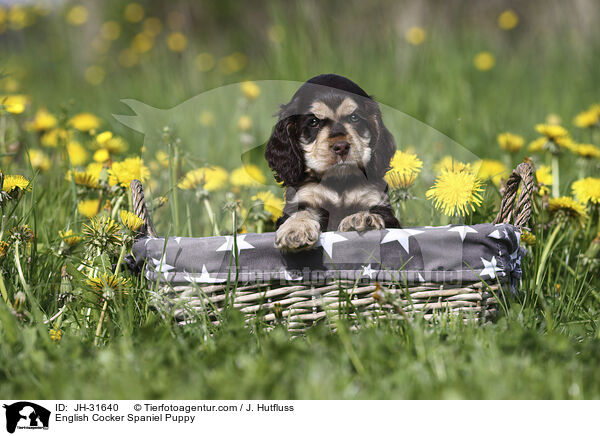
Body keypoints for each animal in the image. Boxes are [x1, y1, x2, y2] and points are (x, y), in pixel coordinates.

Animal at [266, 73, 398, 250]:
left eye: (354, 118)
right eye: (313, 122)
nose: (341, 147)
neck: (338, 181)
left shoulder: (378, 202)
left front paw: (361, 218)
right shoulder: (303, 198)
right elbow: (300, 212)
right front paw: (295, 229)